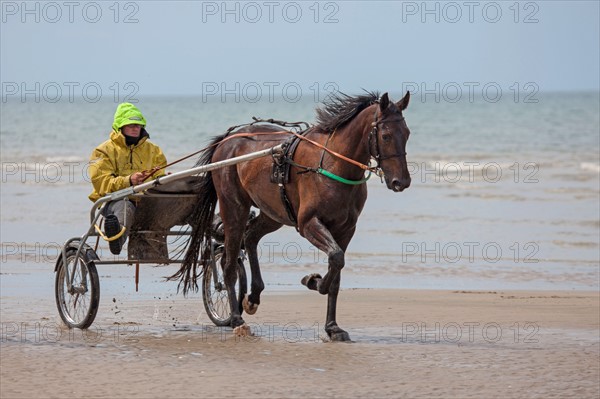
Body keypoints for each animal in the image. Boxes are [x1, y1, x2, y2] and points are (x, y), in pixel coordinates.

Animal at [171, 90, 410, 340]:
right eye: (385, 135)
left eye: (407, 133)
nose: (401, 181)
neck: (333, 164)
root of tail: (228, 139)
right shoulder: (308, 223)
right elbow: (335, 259)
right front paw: (313, 281)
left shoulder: (346, 229)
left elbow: (337, 269)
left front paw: (332, 326)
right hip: (234, 206)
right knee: (229, 261)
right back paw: (236, 318)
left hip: (273, 212)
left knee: (251, 237)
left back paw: (253, 297)